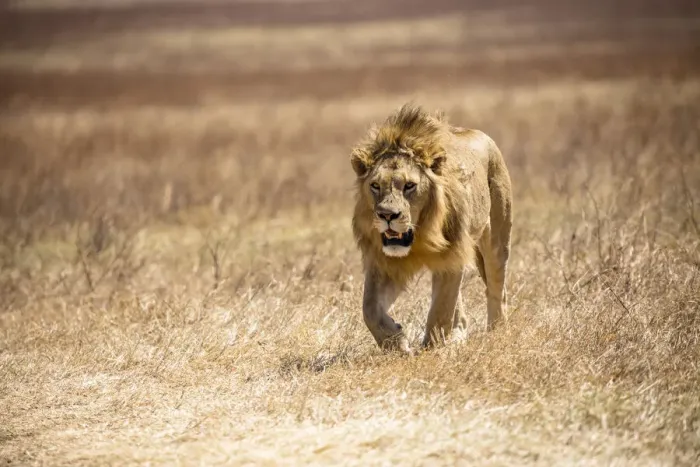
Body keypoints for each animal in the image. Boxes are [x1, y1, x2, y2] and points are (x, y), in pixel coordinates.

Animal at [350, 104, 512, 353]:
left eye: (409, 186)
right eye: (375, 185)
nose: (387, 215)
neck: (420, 235)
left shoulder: (453, 254)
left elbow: (440, 311)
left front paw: (432, 350)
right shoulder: (385, 262)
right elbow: (369, 309)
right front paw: (396, 343)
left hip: (496, 237)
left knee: (497, 288)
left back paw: (497, 333)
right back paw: (458, 337)